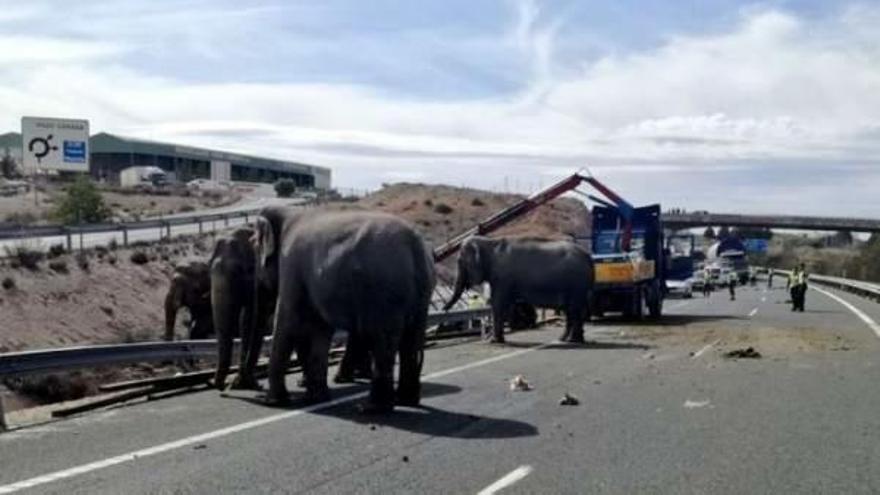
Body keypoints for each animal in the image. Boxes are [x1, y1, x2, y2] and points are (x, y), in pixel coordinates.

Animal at [253, 207, 434, 412]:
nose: (258, 390)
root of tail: (415, 245)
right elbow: (320, 329)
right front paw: (316, 399)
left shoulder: (291, 265)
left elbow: (288, 322)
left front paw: (274, 403)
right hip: (420, 294)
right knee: (411, 342)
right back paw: (406, 401)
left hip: (385, 291)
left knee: (383, 340)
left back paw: (370, 408)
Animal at [444, 236, 596, 344]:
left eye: (460, 261)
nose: (444, 310)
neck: (490, 242)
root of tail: (588, 257)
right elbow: (504, 304)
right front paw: (495, 339)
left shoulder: (503, 277)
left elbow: (498, 303)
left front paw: (493, 341)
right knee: (572, 310)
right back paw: (567, 339)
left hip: (576, 284)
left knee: (573, 309)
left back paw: (572, 340)